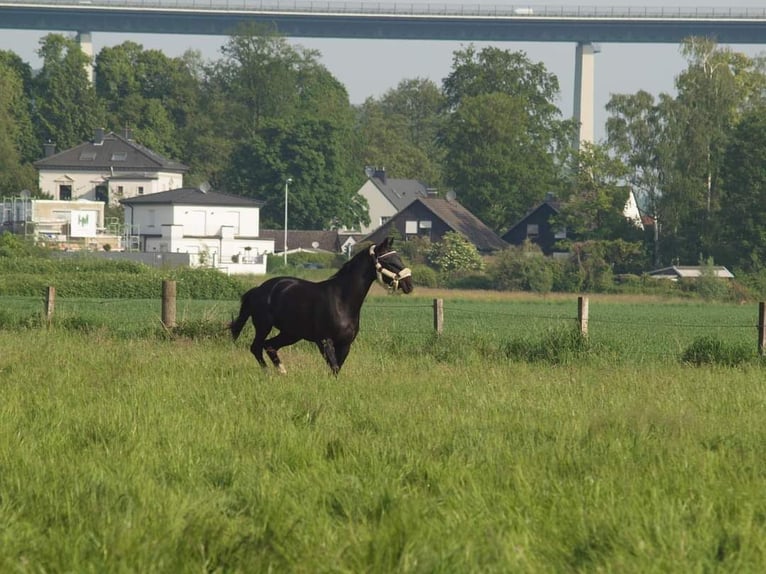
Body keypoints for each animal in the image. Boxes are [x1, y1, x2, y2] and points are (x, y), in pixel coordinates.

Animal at [230, 237, 414, 376]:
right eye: (388, 260)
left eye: (398, 258)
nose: (409, 284)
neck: (342, 301)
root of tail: (259, 289)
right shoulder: (324, 341)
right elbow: (333, 367)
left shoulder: (345, 344)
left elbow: (337, 369)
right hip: (264, 326)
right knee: (256, 347)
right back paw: (268, 373)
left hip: (291, 333)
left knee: (269, 346)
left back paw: (282, 372)